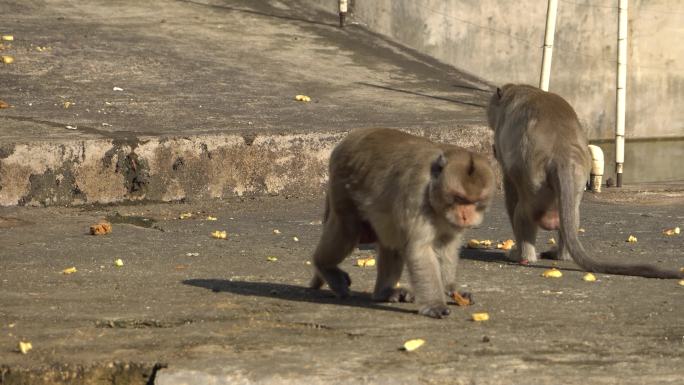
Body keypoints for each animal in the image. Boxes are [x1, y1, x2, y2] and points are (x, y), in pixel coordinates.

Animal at [312, 127, 496, 316]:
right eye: (459, 198)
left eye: (475, 202)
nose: (465, 216)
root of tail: (348, 139)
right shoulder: (416, 193)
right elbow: (420, 249)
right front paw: (435, 304)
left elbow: (446, 247)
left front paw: (452, 288)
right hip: (342, 186)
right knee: (347, 229)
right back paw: (324, 266)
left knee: (391, 240)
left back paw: (383, 293)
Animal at [488, 84, 680, 278]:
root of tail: (561, 154)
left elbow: (510, 189)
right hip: (577, 174)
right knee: (571, 213)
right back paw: (561, 254)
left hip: (533, 176)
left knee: (523, 212)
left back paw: (523, 256)